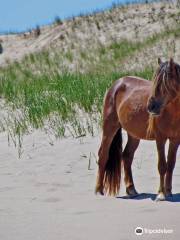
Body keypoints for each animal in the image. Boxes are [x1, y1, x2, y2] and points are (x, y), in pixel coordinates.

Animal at [95, 57, 180, 201]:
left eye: (165, 83)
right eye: (155, 82)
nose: (151, 107)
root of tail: (118, 83)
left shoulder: (175, 140)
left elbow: (171, 164)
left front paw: (168, 191)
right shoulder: (160, 139)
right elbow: (162, 166)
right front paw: (161, 194)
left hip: (134, 135)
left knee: (127, 156)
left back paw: (131, 189)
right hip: (109, 127)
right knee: (103, 155)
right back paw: (98, 190)